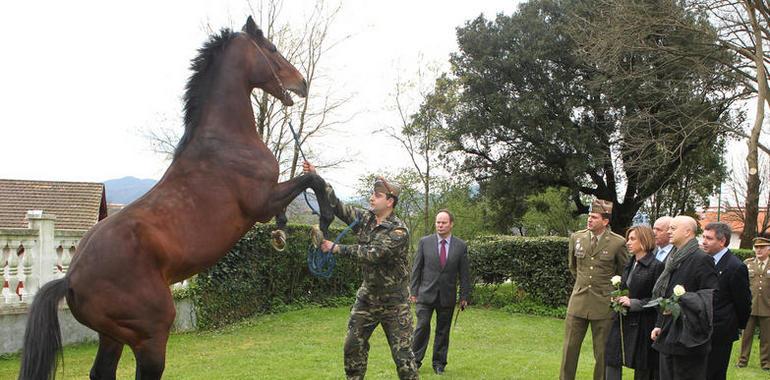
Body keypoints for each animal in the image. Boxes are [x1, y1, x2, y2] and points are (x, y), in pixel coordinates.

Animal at [18, 16, 332, 378]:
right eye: (272, 48)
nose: (302, 83)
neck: (226, 140)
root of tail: (70, 278)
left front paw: (282, 233)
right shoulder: (262, 202)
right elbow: (313, 180)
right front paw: (323, 221)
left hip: (112, 336)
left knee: (102, 371)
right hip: (151, 333)